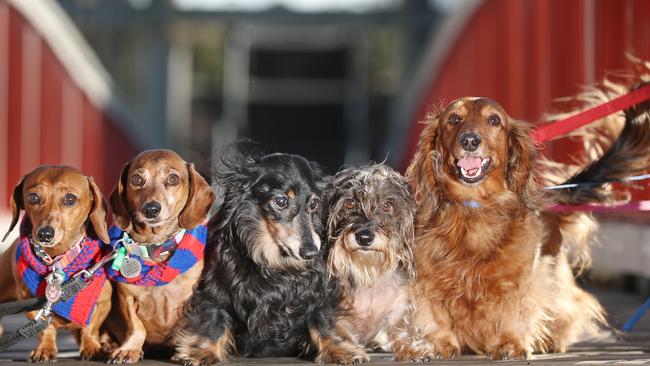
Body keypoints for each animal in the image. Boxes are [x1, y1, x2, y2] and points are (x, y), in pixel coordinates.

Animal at [326, 165, 428, 360]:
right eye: (350, 203)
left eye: (386, 205)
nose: (364, 238)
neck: (369, 273)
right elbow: (338, 333)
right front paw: (345, 351)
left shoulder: (400, 304)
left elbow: (399, 329)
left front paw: (412, 349)